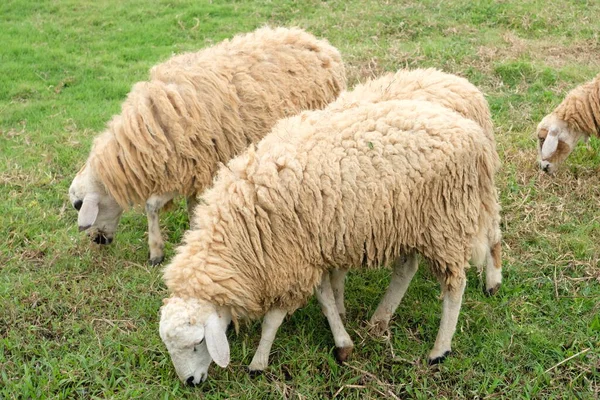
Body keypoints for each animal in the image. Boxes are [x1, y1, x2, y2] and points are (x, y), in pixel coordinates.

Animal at [67, 25, 344, 264]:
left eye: (78, 205)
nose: (97, 241)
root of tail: (320, 43)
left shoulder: (190, 166)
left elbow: (151, 205)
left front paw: (156, 251)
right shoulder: (191, 167)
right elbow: (190, 205)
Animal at [159, 97, 502, 384]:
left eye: (197, 343)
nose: (190, 382)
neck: (238, 231)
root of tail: (472, 133)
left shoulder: (291, 261)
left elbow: (274, 319)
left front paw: (259, 361)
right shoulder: (309, 252)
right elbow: (325, 298)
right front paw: (342, 340)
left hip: (446, 221)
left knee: (454, 286)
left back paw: (440, 350)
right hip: (411, 222)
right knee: (406, 268)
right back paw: (379, 320)